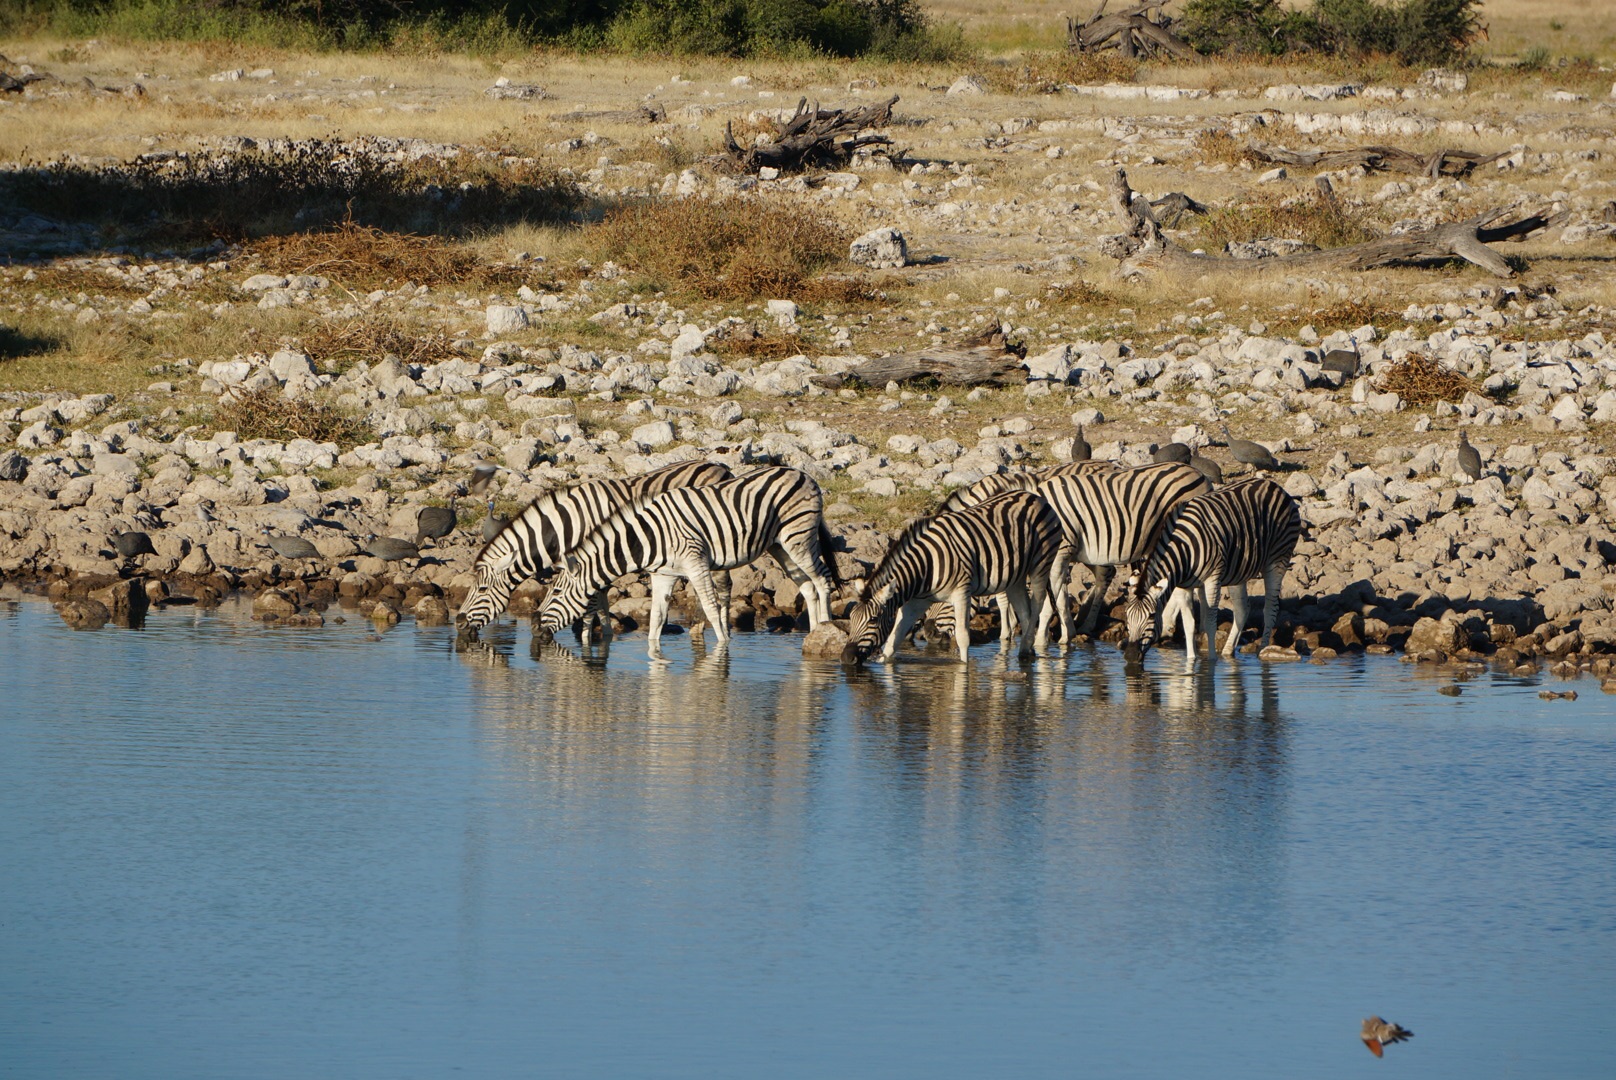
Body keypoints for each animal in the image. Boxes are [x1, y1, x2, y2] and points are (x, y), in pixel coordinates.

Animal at [455, 459, 733, 640]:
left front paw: (588, 637)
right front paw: (605, 633)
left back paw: (707, 629)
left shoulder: (592, 557)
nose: (457, 623)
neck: (568, 524)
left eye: (481, 589)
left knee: (721, 585)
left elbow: (591, 603)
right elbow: (599, 600)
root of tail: (720, 466)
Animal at [533, 465, 840, 659]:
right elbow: (657, 618)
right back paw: (813, 634)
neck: (648, 537)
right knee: (808, 587)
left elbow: (712, 609)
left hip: (799, 536)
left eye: (556, 592)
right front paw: (655, 657)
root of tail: (802, 473)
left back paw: (825, 629)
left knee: (822, 579)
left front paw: (723, 649)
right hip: (780, 546)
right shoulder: (662, 575)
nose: (536, 629)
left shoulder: (696, 563)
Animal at [840, 491, 1066, 666]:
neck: (925, 568)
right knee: (1025, 611)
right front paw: (884, 663)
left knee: (1037, 604)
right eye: (851, 618)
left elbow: (963, 637)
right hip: (1015, 577)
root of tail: (1035, 496)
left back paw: (1027, 649)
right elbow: (893, 640)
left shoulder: (961, 593)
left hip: (1041, 563)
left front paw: (963, 669)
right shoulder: (916, 602)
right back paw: (1026, 651)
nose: (846, 658)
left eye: (873, 620)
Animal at [1124, 478, 1299, 666]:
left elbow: (1209, 623)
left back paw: (1263, 651)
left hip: (1278, 559)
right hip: (1240, 569)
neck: (1184, 549)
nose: (1130, 656)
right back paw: (1228, 652)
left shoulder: (1212, 579)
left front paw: (1211, 662)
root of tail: (1275, 486)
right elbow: (1189, 624)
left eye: (1151, 616)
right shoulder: (1183, 585)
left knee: (1270, 609)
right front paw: (1191, 661)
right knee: (1242, 609)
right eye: (1127, 616)